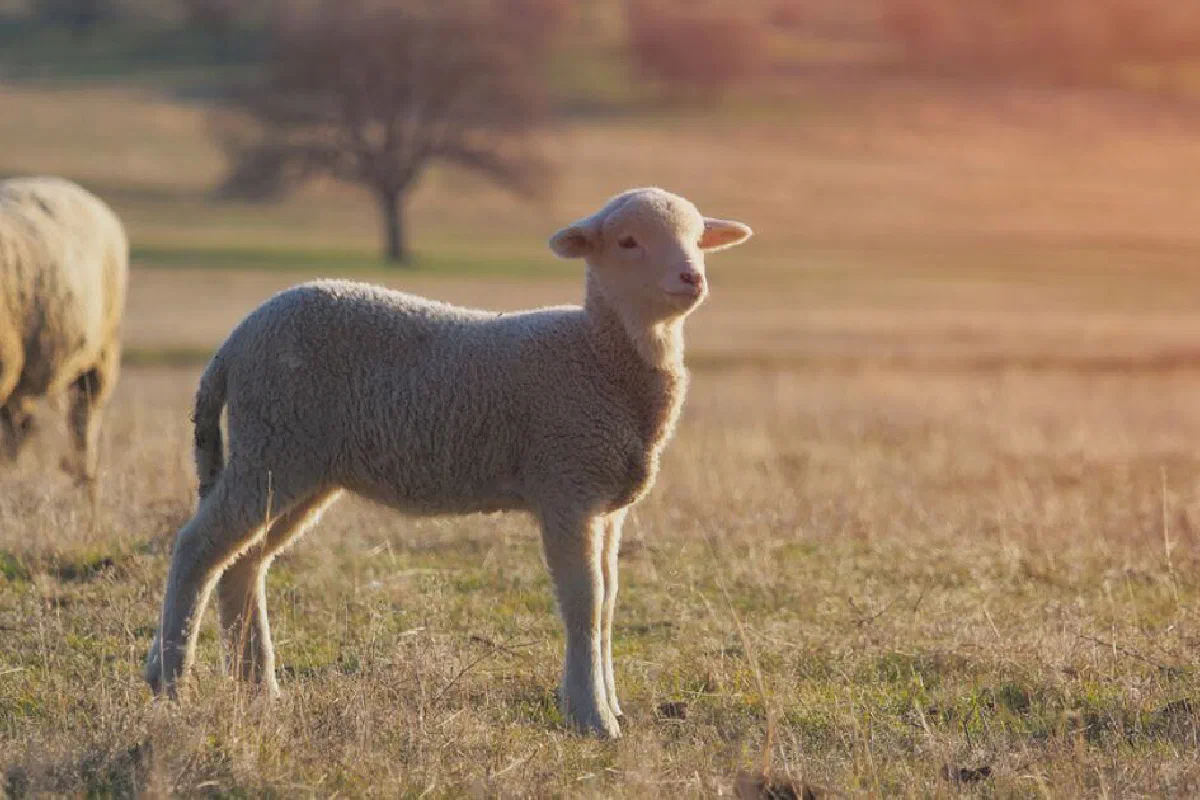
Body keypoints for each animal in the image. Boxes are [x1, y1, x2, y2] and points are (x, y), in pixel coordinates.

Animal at [144, 187, 752, 738]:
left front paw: (609, 703)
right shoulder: (566, 484)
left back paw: (258, 687)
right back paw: (171, 679)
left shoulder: (606, 502)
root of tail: (236, 339)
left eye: (698, 238)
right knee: (198, 547)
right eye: (628, 242)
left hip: (297, 464)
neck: (599, 354)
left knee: (243, 562)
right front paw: (592, 717)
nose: (692, 279)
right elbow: (584, 601)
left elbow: (608, 603)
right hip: (272, 445)